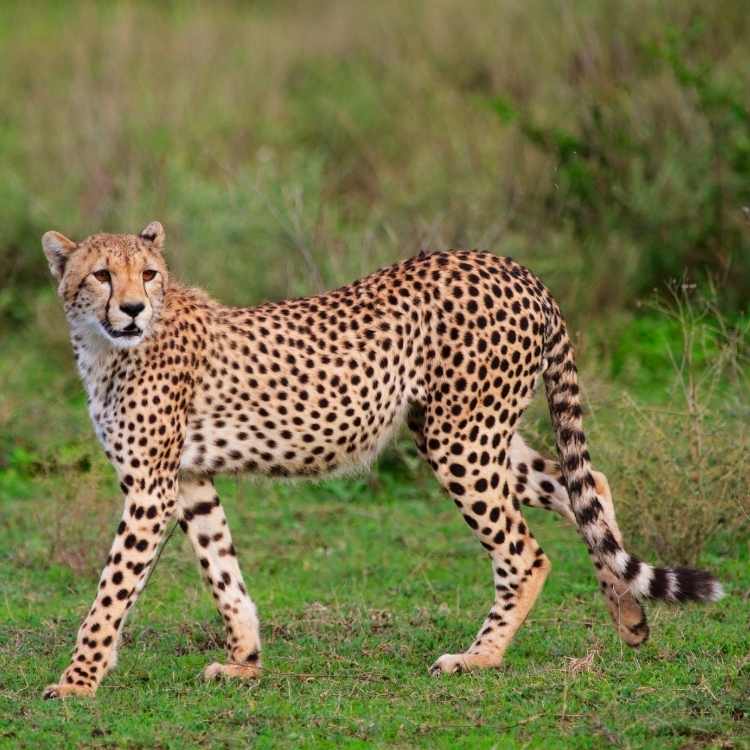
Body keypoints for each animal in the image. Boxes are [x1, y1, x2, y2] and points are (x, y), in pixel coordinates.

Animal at [40, 222, 722, 698]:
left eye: (149, 273)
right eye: (102, 275)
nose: (132, 308)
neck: (106, 347)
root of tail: (513, 267)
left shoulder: (150, 489)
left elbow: (110, 593)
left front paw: (77, 680)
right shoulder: (188, 480)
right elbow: (222, 571)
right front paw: (245, 662)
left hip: (460, 439)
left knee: (525, 552)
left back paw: (479, 657)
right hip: (473, 433)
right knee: (588, 485)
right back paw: (629, 615)